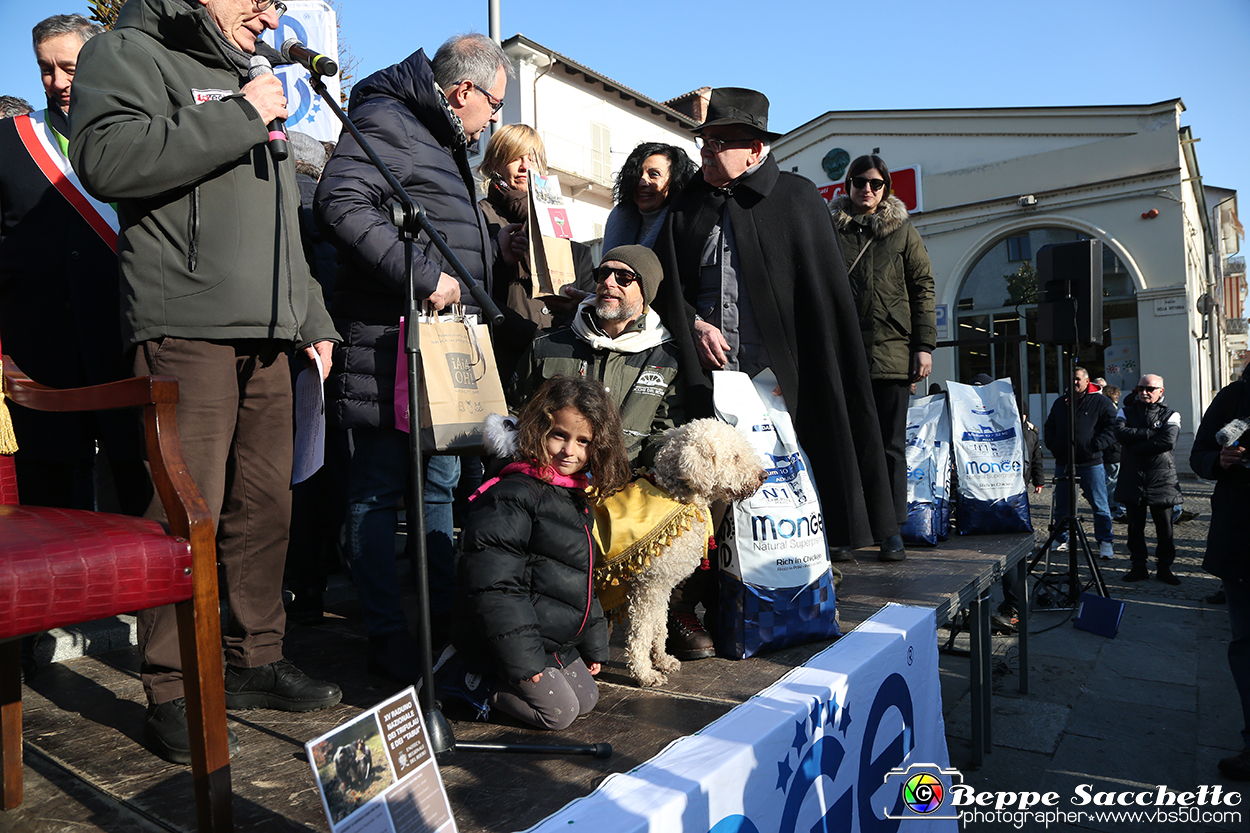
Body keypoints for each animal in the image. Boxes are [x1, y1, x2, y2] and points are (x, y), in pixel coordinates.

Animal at [620, 417, 765, 685]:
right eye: (736, 457)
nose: (764, 475)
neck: (674, 497)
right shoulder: (647, 586)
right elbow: (641, 632)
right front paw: (644, 673)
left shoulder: (661, 584)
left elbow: (659, 626)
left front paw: (662, 659)